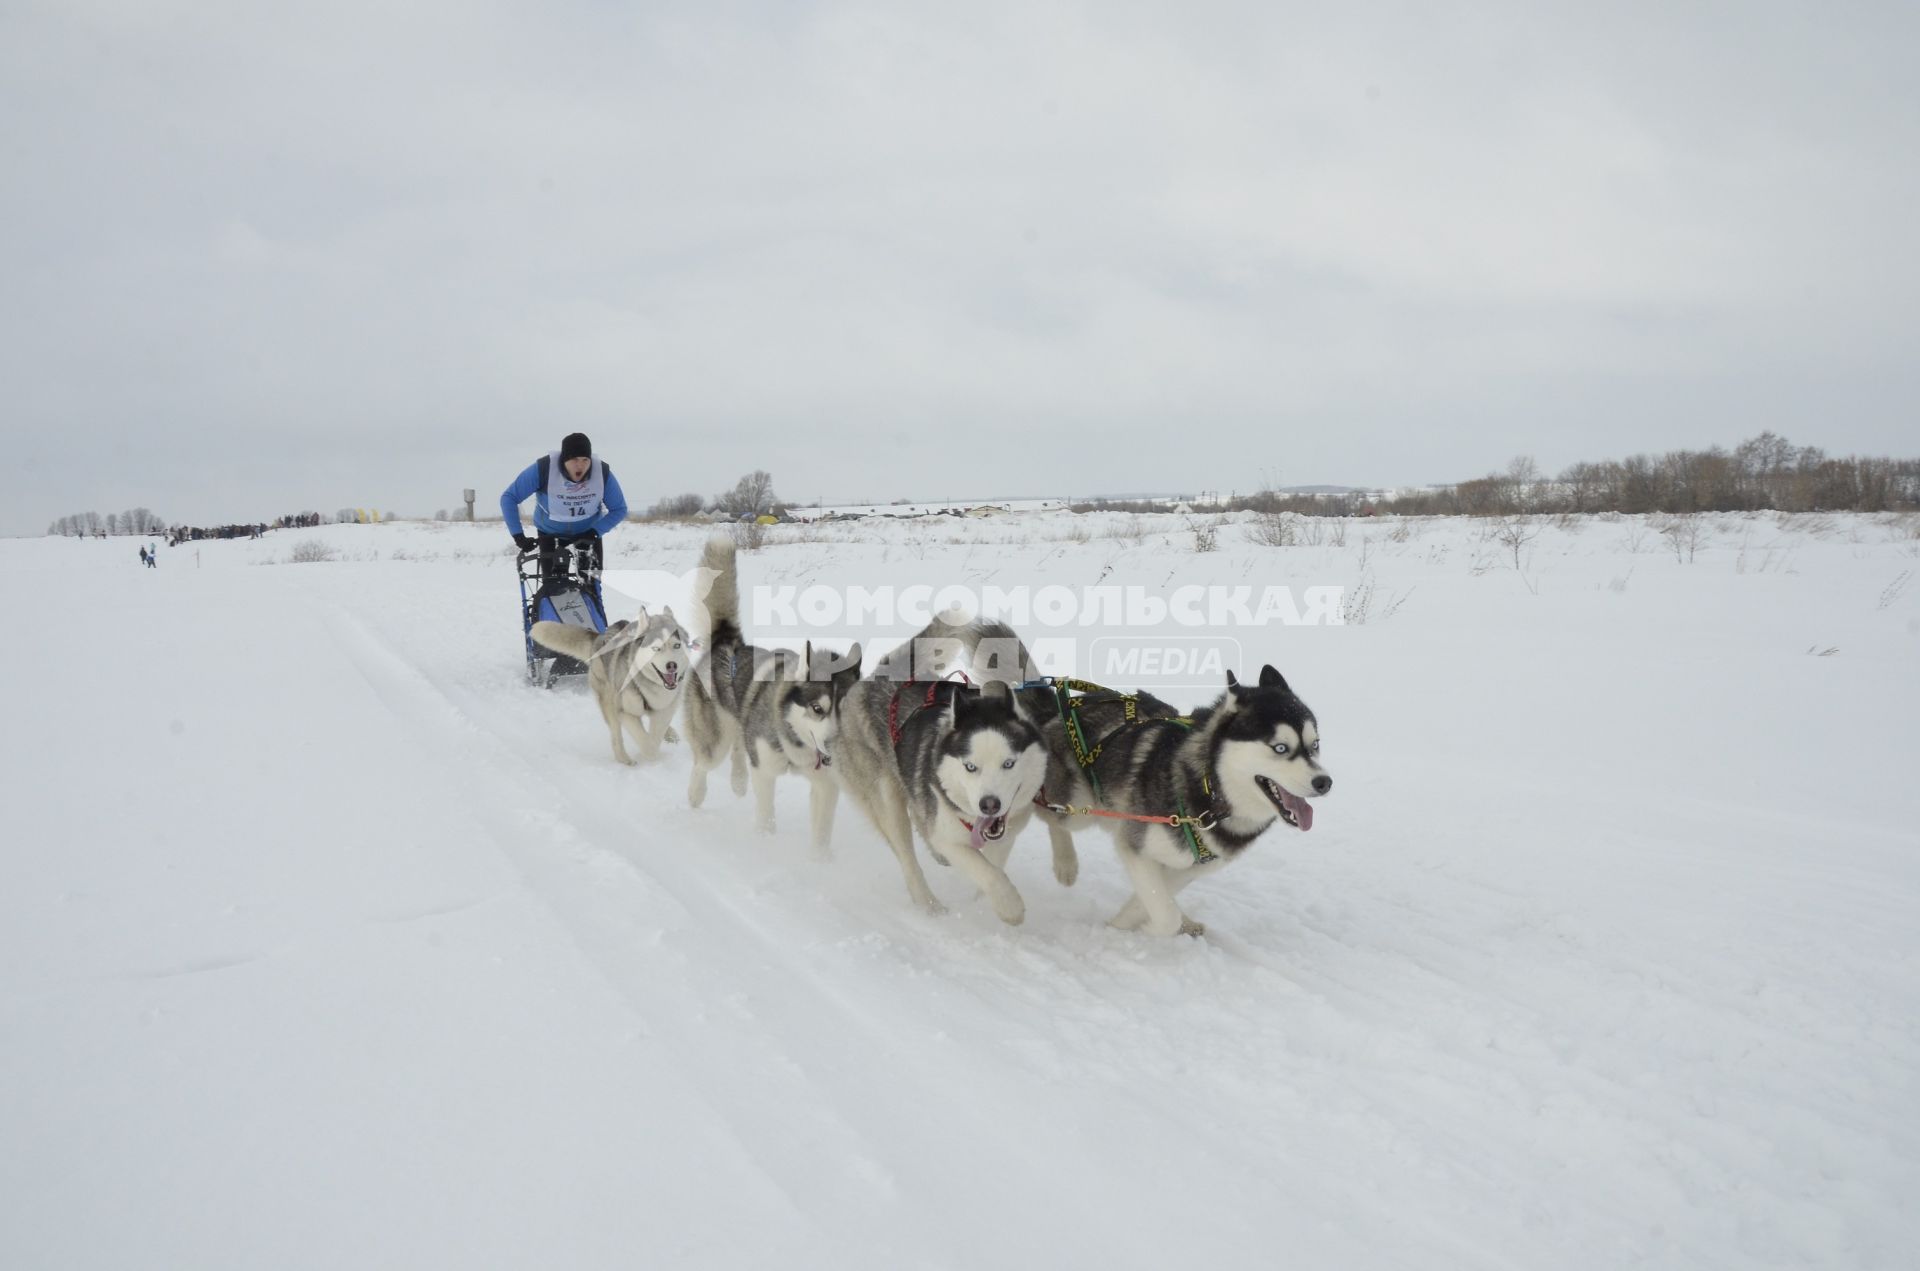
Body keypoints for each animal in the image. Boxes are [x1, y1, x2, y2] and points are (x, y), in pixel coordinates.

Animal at [533, 606, 691, 767]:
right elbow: (648, 744)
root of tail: (598, 637)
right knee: (616, 736)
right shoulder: (624, 713)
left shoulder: (664, 711)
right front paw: (650, 754)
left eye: (677, 645)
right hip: (609, 702)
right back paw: (624, 758)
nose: (672, 665)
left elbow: (656, 733)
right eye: (656, 648)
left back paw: (670, 734)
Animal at [683, 533, 864, 860]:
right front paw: (764, 844)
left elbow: (821, 834)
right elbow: (766, 817)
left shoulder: (826, 786)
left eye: (843, 709)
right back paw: (696, 793)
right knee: (703, 762)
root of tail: (728, 642)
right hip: (714, 739)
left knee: (738, 748)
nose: (834, 747)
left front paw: (820, 863)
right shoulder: (765, 771)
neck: (797, 744)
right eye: (817, 708)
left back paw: (738, 781)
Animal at [1090, 668, 1328, 936]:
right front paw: (1123, 930)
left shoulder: (1190, 867)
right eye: (1280, 748)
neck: (1211, 792)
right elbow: (1166, 915)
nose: (1325, 782)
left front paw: (1127, 923)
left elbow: (1155, 899)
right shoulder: (1135, 845)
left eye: (1315, 745)